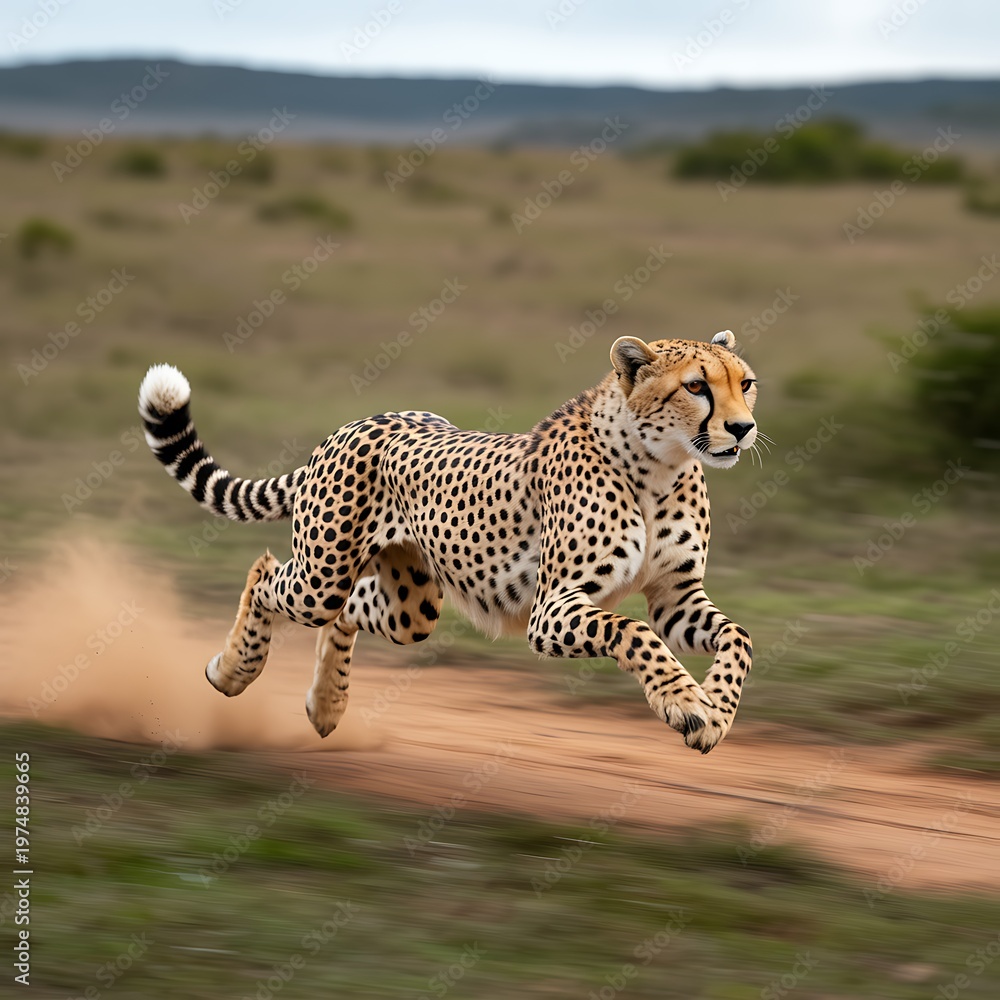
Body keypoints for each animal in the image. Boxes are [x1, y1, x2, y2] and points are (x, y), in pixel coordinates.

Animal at [138, 331, 759, 753]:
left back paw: (327, 706)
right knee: (267, 570)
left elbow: (738, 636)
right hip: (321, 576)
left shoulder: (676, 598)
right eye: (697, 387)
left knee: (349, 611)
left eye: (745, 383)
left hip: (410, 605)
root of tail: (360, 421)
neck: (660, 467)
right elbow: (633, 632)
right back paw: (231, 671)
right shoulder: (552, 610)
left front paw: (717, 710)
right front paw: (684, 702)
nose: (743, 428)